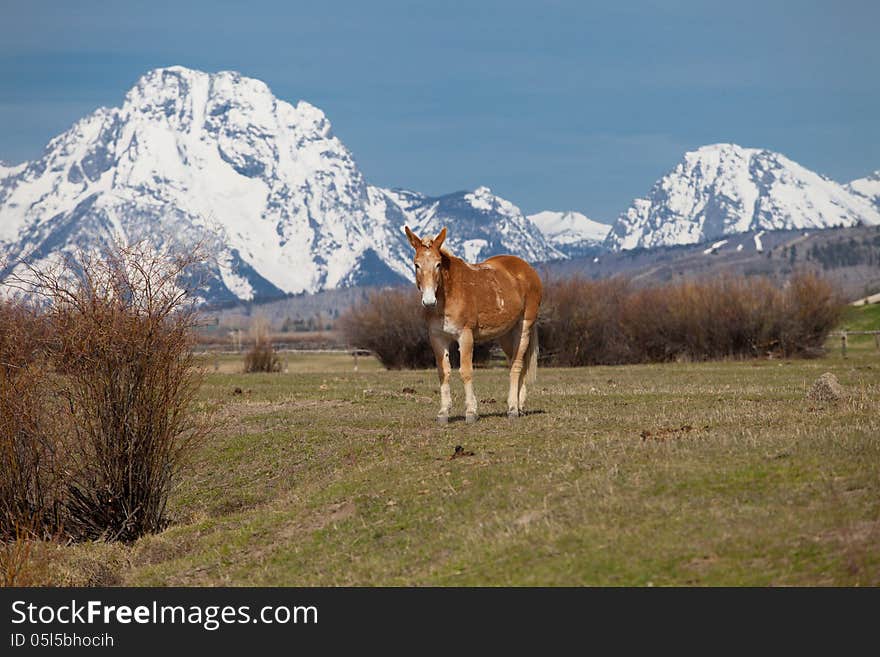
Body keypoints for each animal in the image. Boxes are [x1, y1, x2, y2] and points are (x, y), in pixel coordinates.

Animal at [406, 223, 544, 422]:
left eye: (438, 264)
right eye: (416, 264)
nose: (429, 301)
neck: (448, 296)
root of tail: (527, 269)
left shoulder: (465, 336)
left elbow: (466, 371)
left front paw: (471, 412)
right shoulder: (437, 338)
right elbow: (443, 372)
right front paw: (443, 412)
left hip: (524, 327)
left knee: (517, 366)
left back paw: (512, 409)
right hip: (506, 335)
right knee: (518, 364)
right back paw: (519, 406)